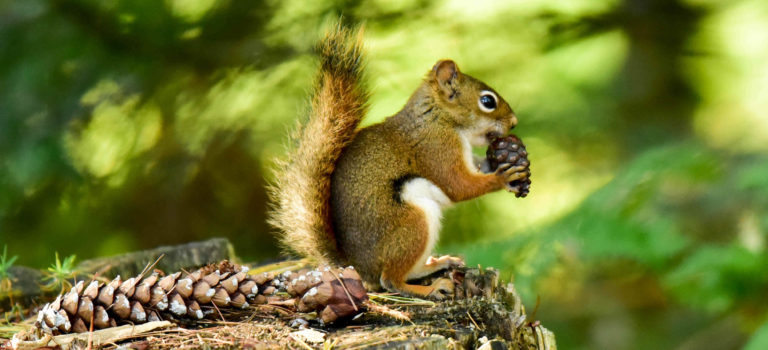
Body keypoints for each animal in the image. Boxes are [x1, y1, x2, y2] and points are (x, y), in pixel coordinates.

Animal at [270, 25, 528, 298]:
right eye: (487, 101)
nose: (514, 122)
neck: (439, 117)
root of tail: (357, 267)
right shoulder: (437, 148)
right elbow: (459, 185)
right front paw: (503, 177)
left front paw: (512, 160)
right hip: (413, 221)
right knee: (390, 281)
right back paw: (431, 288)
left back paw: (437, 264)